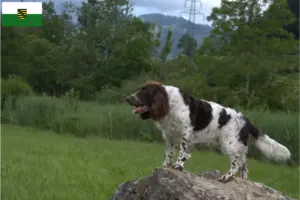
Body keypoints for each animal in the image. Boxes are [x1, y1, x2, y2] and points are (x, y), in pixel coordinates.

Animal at [125, 81, 292, 183]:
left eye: (144, 92)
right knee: (244, 167)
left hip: (230, 144)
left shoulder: (186, 133)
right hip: (240, 148)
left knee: (236, 165)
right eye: (139, 90)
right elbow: (168, 155)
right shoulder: (170, 136)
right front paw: (165, 167)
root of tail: (247, 121)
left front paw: (178, 166)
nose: (127, 98)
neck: (170, 104)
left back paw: (225, 177)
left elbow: (182, 152)